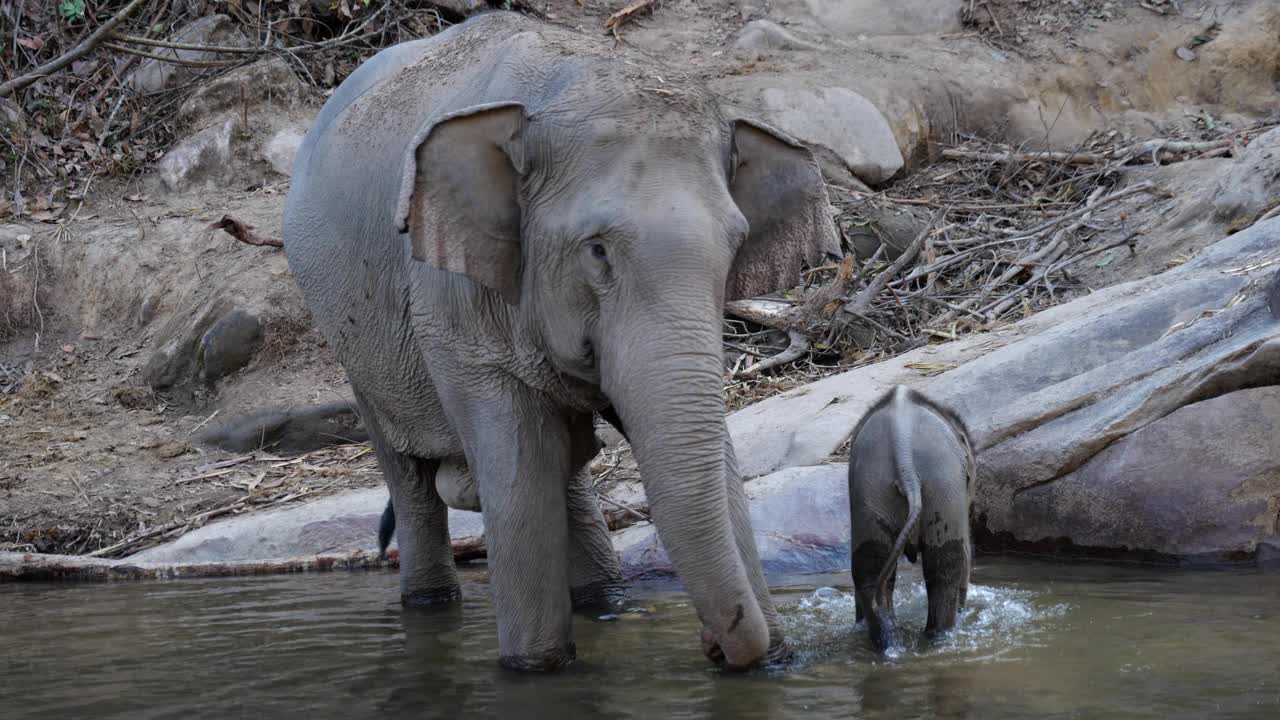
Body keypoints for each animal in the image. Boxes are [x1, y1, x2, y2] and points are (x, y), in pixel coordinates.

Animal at [284, 11, 839, 671]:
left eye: (735, 245)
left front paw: (770, 658)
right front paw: (536, 667)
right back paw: (430, 599)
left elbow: (710, 457)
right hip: (348, 339)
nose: (714, 643)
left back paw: (605, 598)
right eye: (597, 250)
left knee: (566, 466)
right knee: (414, 479)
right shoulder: (451, 301)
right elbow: (518, 479)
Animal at [844, 386, 972, 650]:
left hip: (871, 487)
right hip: (943, 481)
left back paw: (890, 644)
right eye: (969, 479)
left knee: (869, 566)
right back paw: (939, 636)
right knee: (946, 564)